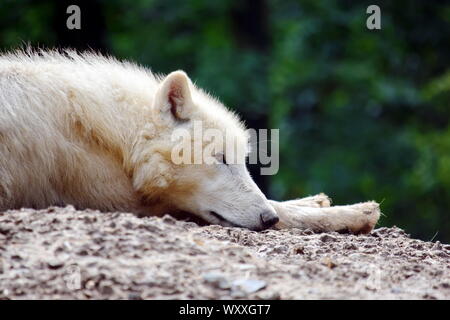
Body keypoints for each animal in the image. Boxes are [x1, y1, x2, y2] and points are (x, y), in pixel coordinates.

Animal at [0, 50, 380, 232]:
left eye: (241, 161)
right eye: (220, 159)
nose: (266, 220)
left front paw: (317, 202)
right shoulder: (120, 201)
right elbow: (287, 212)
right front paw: (353, 213)